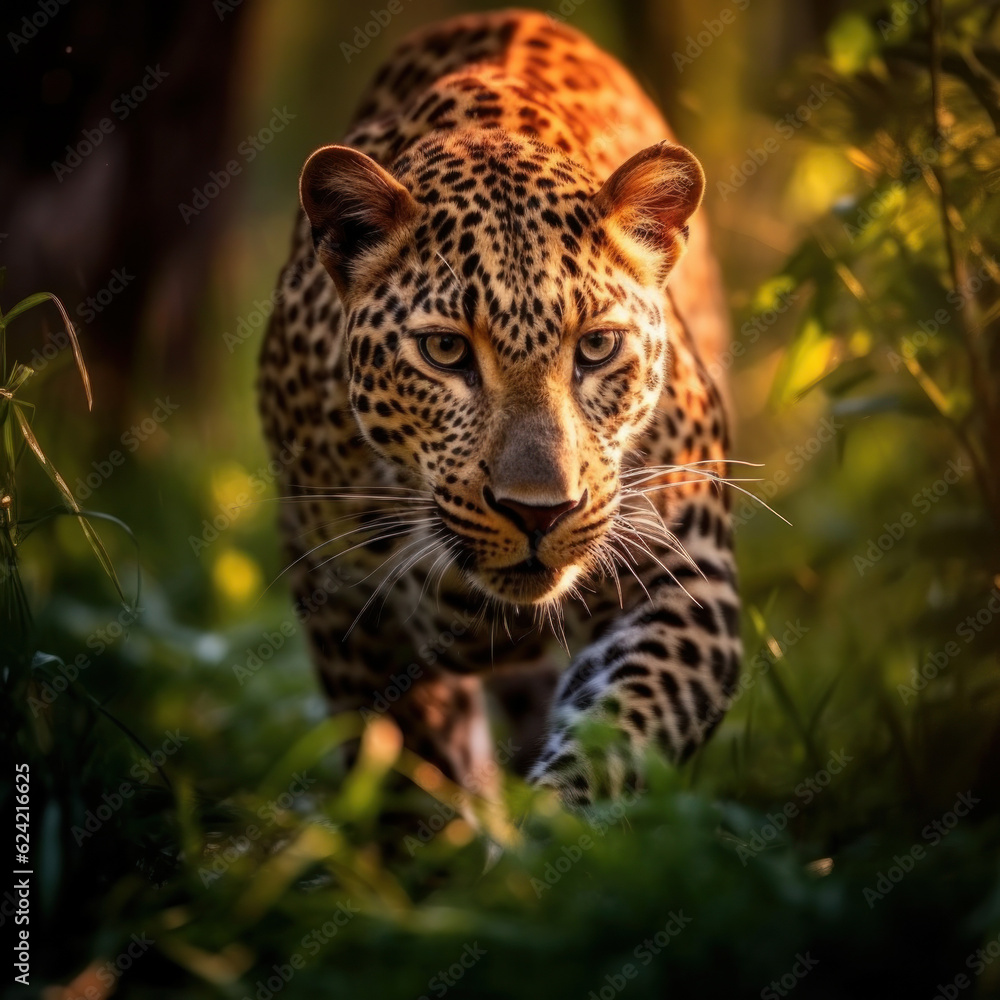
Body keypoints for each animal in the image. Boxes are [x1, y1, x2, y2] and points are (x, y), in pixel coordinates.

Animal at [258, 9, 741, 810]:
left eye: (598, 346)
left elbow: (616, 736)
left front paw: (552, 834)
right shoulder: (339, 600)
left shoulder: (687, 580)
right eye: (446, 351)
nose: (537, 513)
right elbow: (405, 773)